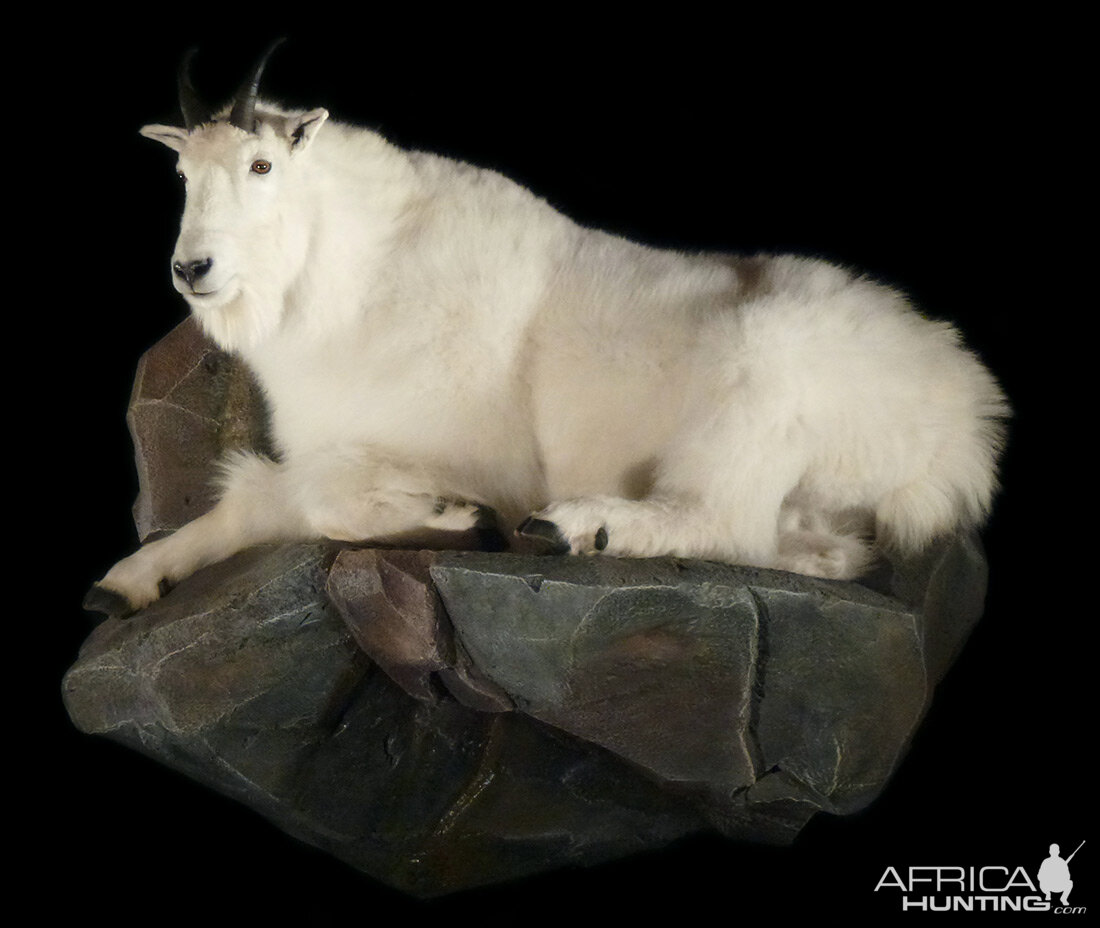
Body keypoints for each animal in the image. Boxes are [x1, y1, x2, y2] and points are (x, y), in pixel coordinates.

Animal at [83, 45, 1012, 624]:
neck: (353, 277)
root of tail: (966, 419)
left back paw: (577, 527)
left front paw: (455, 518)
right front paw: (124, 583)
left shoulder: (468, 457)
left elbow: (318, 499)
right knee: (827, 552)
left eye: (262, 165)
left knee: (721, 518)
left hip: (763, 392)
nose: (192, 269)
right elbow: (254, 502)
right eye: (180, 172)